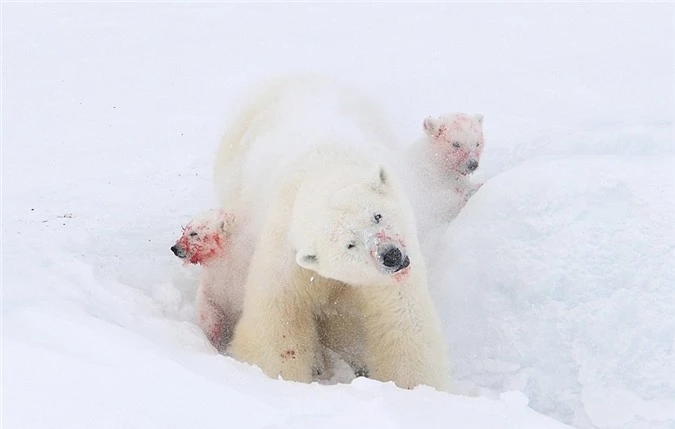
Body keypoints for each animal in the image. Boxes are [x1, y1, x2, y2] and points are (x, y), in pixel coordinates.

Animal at [215, 75, 448, 390]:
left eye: (377, 215)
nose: (390, 256)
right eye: (349, 244)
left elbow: (403, 323)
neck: (326, 164)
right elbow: (278, 318)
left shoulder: (389, 277)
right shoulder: (286, 248)